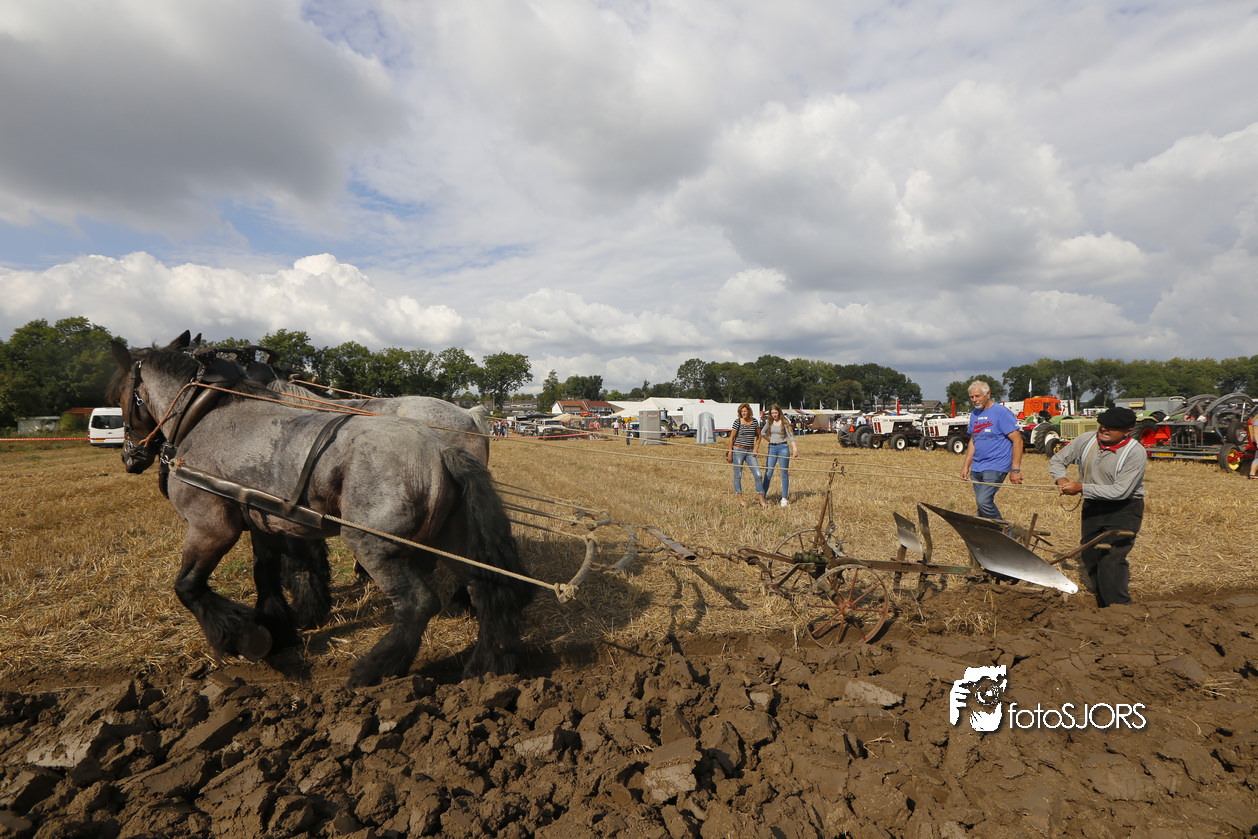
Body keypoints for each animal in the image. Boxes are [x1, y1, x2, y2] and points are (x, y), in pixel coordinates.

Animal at [107, 339, 534, 686]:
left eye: (123, 394)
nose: (130, 455)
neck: (207, 414)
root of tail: (447, 445)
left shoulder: (212, 525)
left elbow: (190, 586)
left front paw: (247, 635)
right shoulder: (266, 520)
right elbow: (267, 571)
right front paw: (281, 624)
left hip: (371, 542)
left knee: (418, 603)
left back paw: (374, 669)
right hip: (453, 534)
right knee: (485, 585)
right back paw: (487, 663)